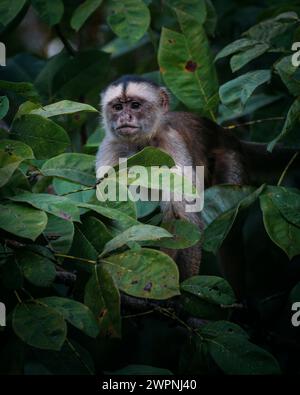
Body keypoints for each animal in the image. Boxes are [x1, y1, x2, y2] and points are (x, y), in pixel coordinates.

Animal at [95, 75, 298, 296]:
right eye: (117, 107)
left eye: (135, 105)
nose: (124, 117)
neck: (142, 144)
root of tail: (226, 135)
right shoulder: (111, 148)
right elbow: (112, 211)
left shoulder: (171, 144)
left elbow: (183, 218)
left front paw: (179, 293)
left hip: (232, 158)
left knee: (230, 234)